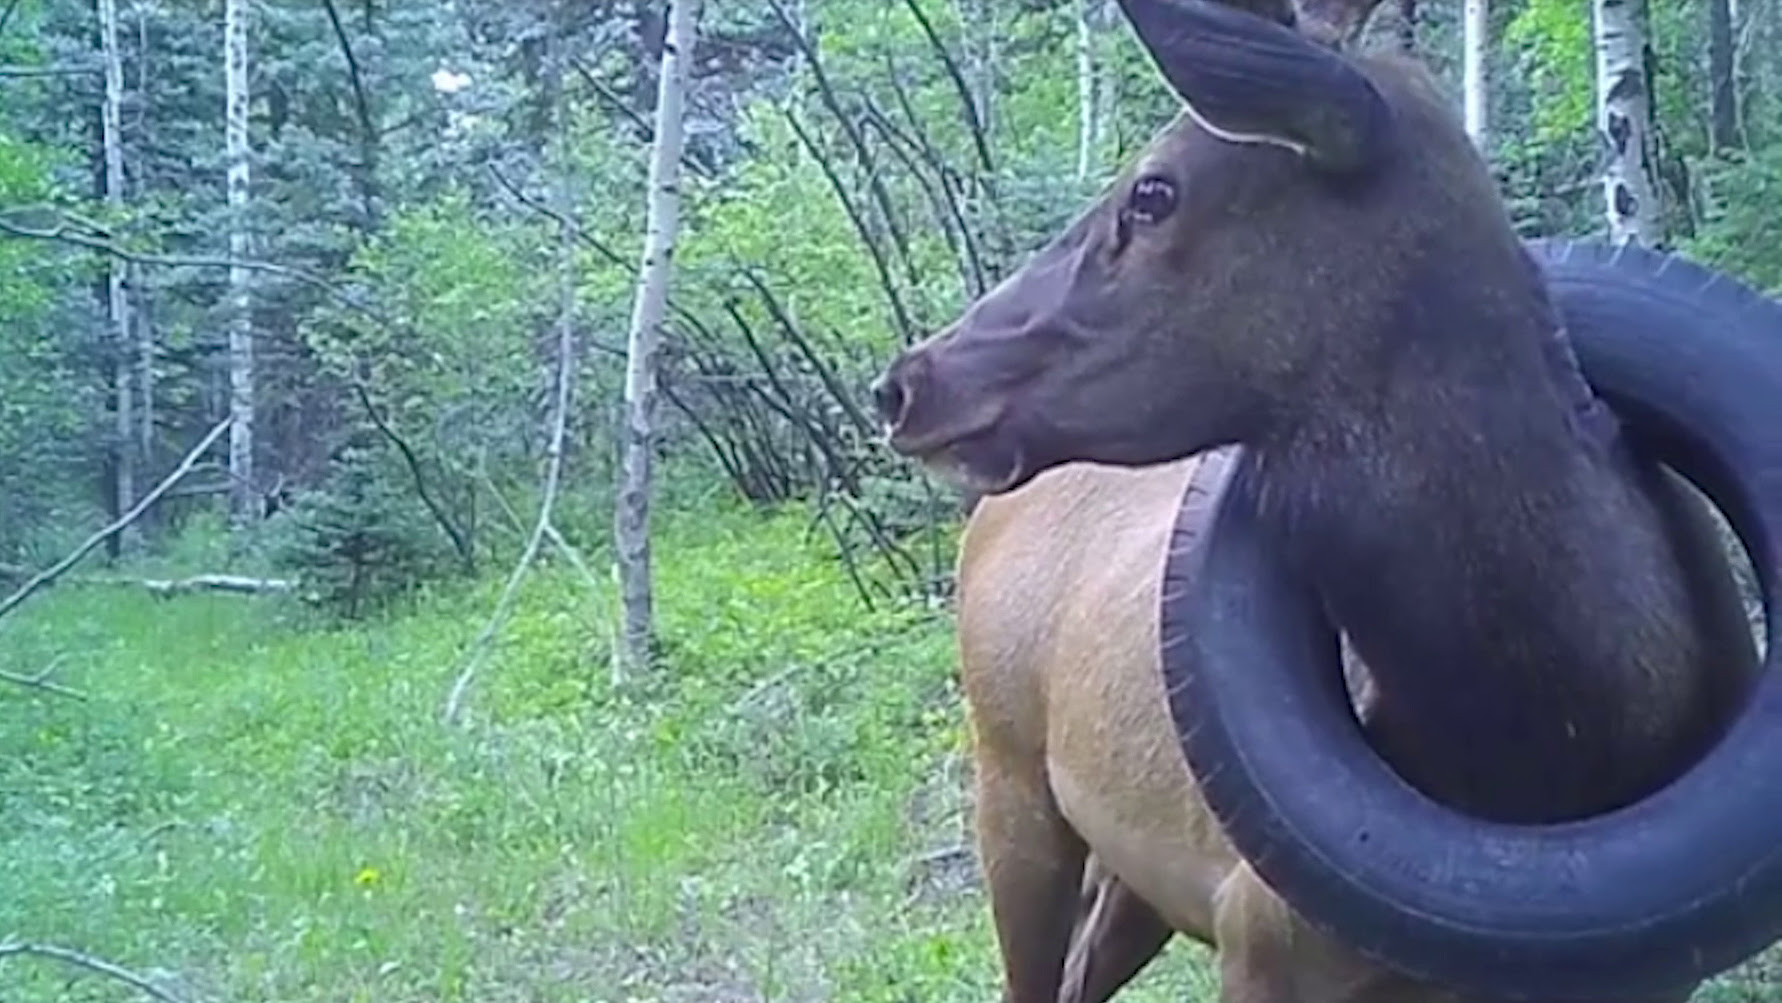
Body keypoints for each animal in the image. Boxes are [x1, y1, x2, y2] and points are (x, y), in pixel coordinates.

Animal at [867, 2, 1782, 1002]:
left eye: (1153, 193)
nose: (907, 382)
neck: (1563, 723)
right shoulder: (1265, 936)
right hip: (1009, 779)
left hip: (1127, 871)